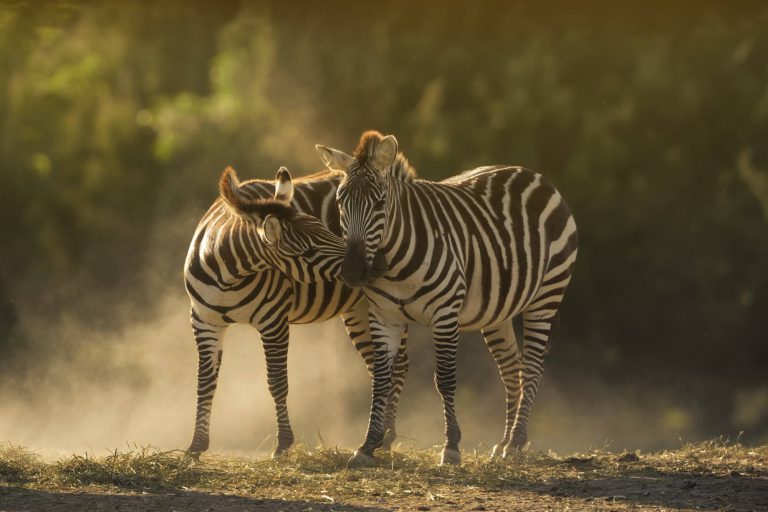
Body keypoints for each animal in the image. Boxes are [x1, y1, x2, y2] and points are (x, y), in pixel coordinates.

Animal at [184, 165, 412, 460]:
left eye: (328, 230)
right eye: (309, 252)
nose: (379, 265)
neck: (228, 275)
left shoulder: (274, 321)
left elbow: (277, 382)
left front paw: (283, 443)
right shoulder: (204, 322)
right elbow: (204, 383)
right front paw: (196, 445)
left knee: (399, 365)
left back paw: (386, 437)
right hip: (358, 309)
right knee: (378, 365)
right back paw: (380, 434)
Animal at [316, 131, 576, 464]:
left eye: (380, 203)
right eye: (340, 201)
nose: (353, 271)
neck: (395, 263)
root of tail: (531, 173)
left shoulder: (445, 314)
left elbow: (445, 379)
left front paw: (451, 446)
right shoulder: (384, 317)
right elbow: (381, 380)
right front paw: (368, 445)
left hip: (546, 294)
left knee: (531, 365)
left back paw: (516, 442)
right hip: (497, 311)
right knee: (511, 368)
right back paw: (505, 443)